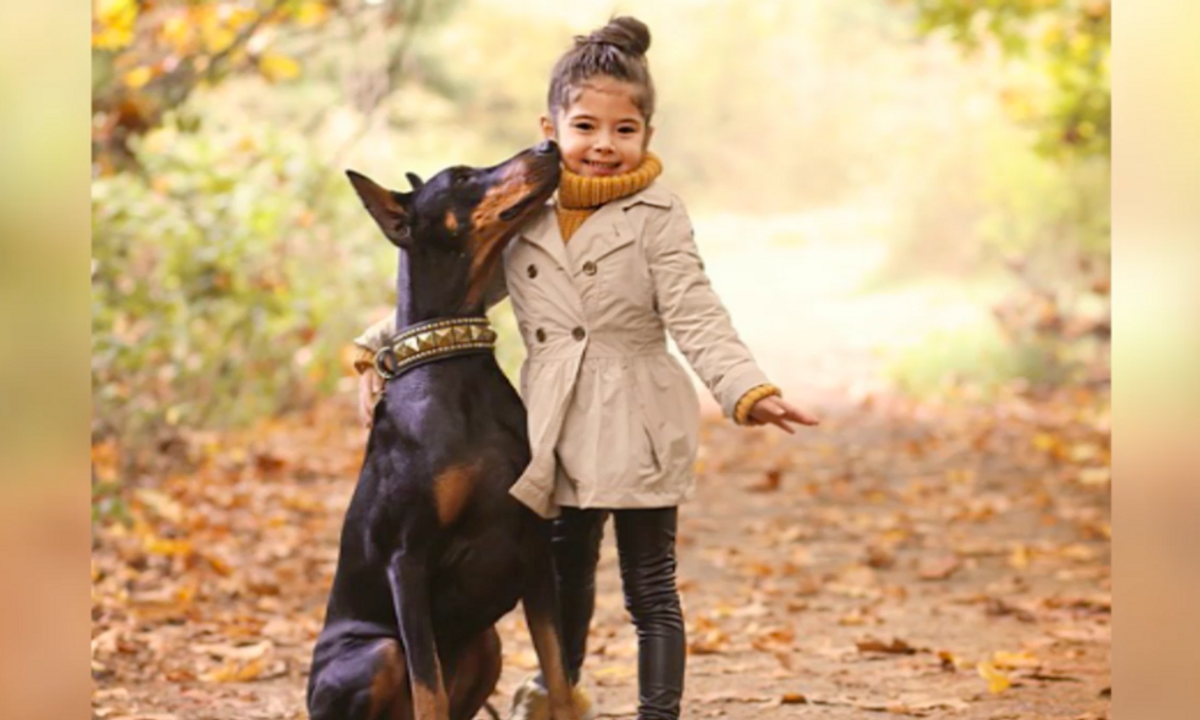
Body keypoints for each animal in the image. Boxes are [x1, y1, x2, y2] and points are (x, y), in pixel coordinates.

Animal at [304, 140, 576, 720]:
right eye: (463, 178)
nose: (549, 145)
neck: (454, 361)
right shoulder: (406, 559)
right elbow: (428, 688)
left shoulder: (535, 549)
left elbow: (559, 674)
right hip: (376, 652)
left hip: (486, 644)